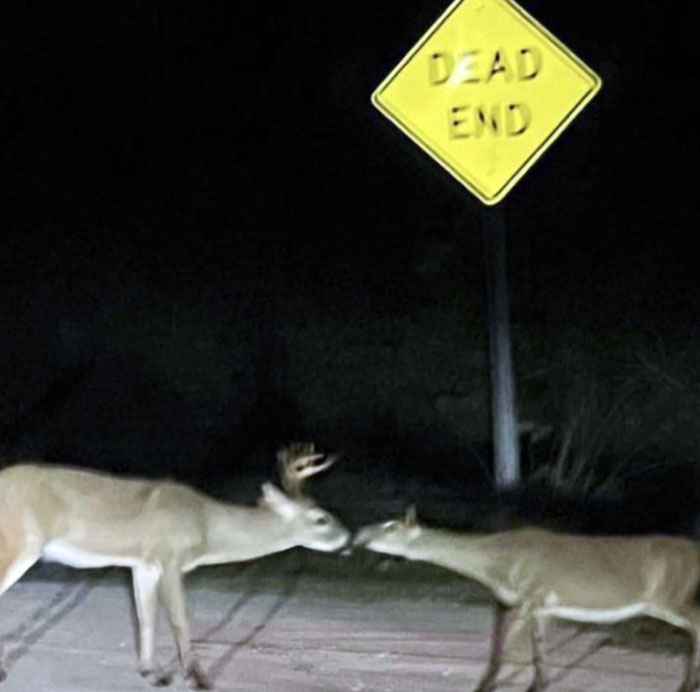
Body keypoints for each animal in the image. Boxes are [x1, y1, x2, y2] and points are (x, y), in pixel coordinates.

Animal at [356, 506, 700, 692]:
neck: (496, 564)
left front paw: (483, 686)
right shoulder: (543, 608)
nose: (360, 535)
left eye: (390, 526)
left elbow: (501, 654)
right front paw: (538, 684)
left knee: (696, 624)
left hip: (669, 595)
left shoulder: (528, 597)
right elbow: (539, 656)